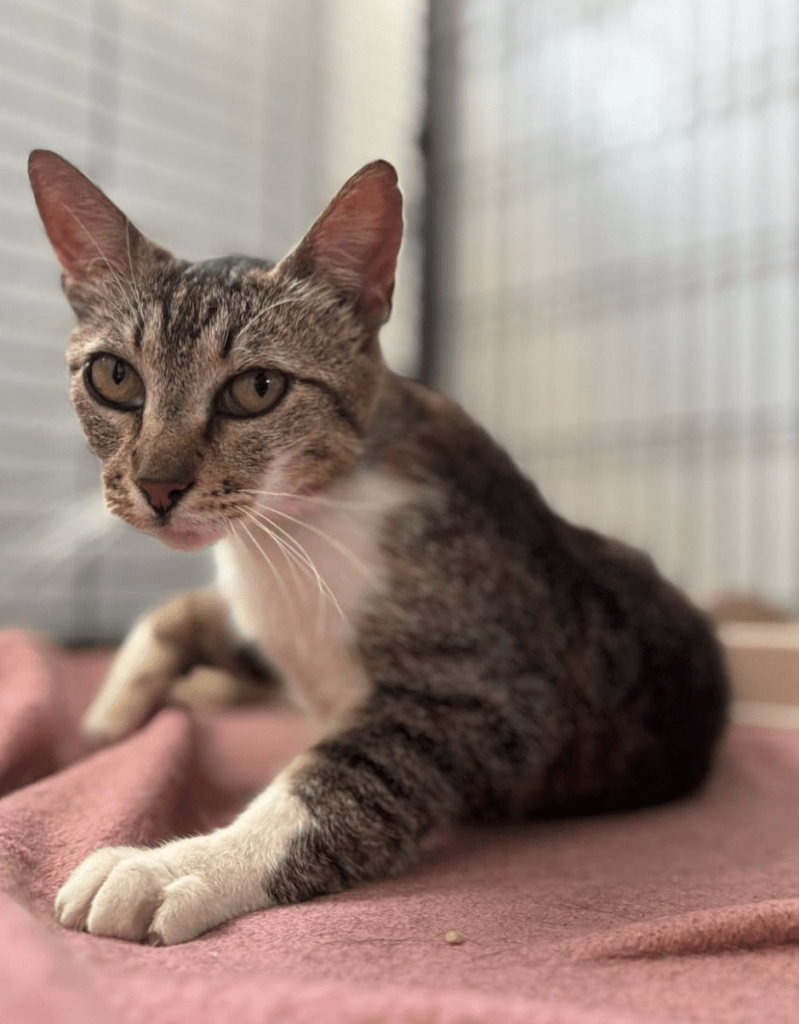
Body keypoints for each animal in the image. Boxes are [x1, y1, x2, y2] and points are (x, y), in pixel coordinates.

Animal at [26, 149, 729, 942]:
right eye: (114, 376)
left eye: (257, 388)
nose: (158, 485)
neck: (297, 533)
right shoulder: (267, 626)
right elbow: (175, 617)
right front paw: (111, 715)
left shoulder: (487, 696)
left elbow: (343, 781)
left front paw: (171, 866)